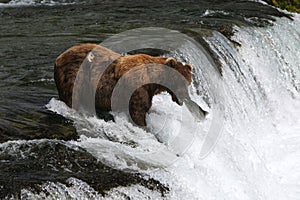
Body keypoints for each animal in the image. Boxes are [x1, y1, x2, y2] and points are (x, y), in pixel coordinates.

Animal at [54, 43, 204, 126]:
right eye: (180, 81)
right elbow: (138, 113)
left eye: (188, 82)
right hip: (75, 76)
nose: (184, 97)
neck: (153, 80)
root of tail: (59, 57)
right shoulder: (137, 89)